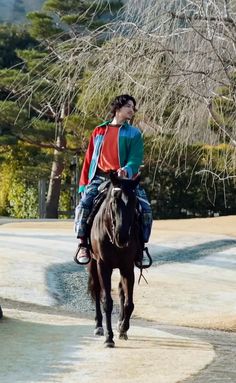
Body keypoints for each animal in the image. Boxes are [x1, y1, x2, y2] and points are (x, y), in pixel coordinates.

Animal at [87, 171, 141, 348]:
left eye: (134, 201)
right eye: (114, 201)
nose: (122, 237)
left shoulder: (127, 266)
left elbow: (129, 302)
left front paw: (123, 328)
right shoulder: (103, 265)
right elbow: (107, 302)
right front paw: (109, 337)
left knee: (121, 291)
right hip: (92, 263)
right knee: (97, 290)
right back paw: (98, 326)